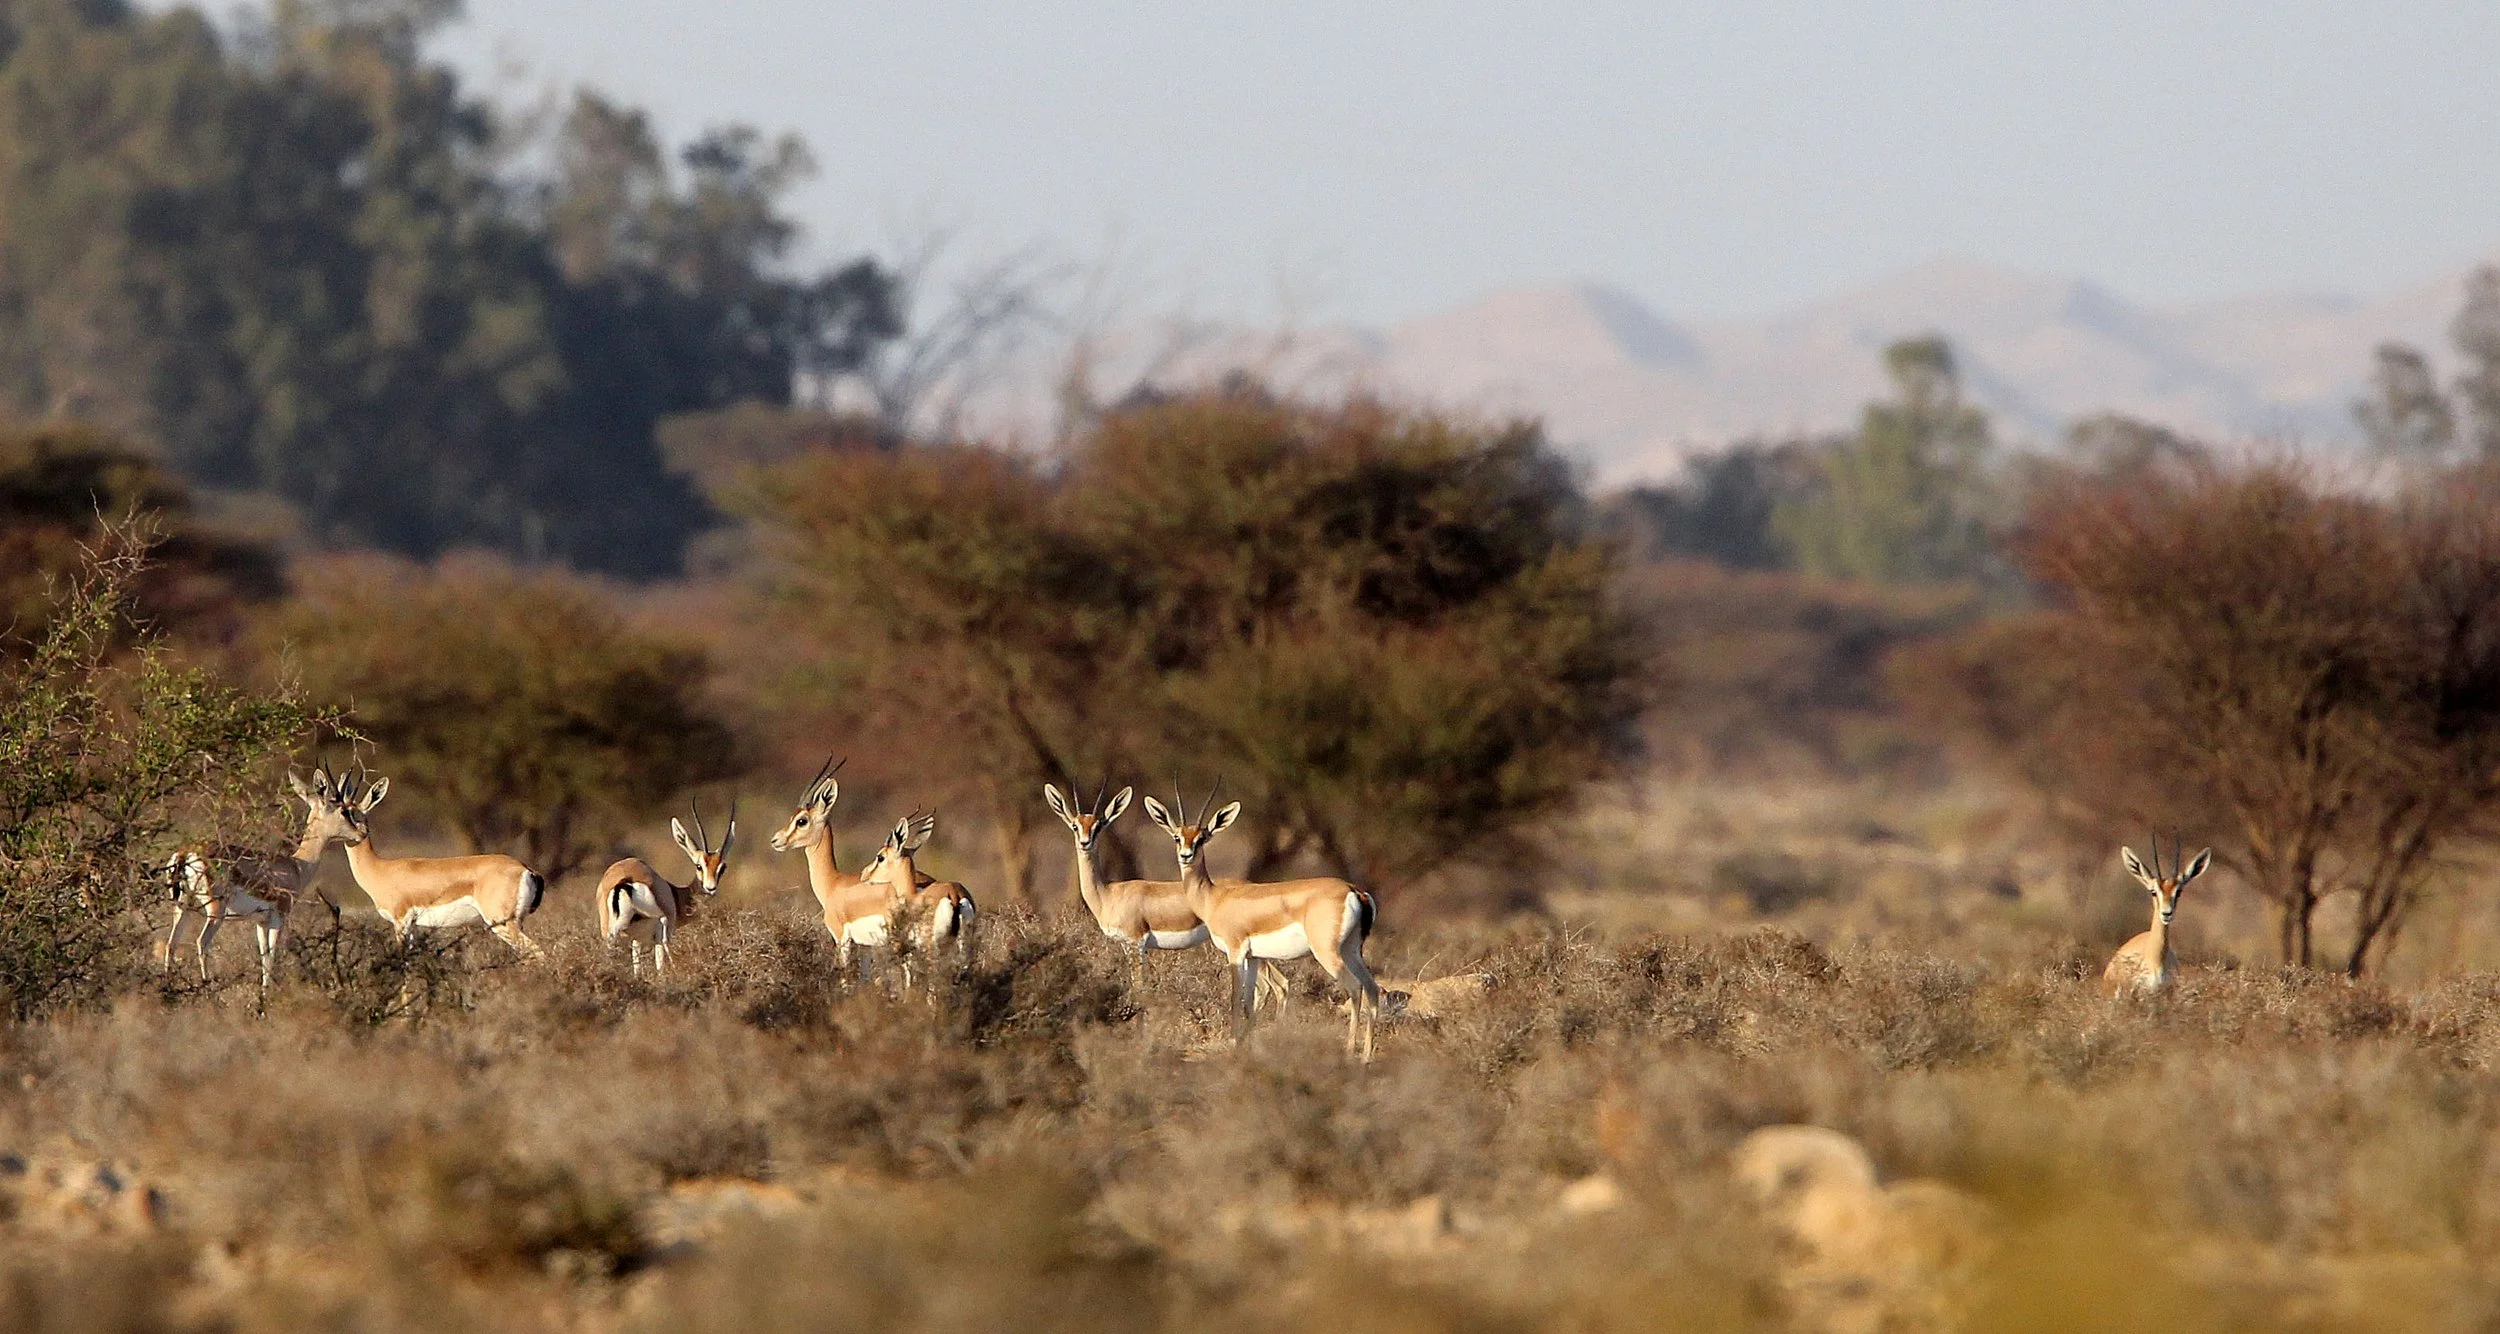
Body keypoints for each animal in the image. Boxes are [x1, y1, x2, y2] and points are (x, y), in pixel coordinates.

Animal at [158, 771, 357, 990]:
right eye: (343, 811)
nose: (361, 833)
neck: (297, 866)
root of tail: (186, 853)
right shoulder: (279, 917)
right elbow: (271, 956)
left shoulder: (260, 922)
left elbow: (264, 956)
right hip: (215, 911)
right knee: (202, 942)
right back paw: (206, 987)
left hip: (183, 905)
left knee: (171, 943)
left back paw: (168, 988)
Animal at [319, 767, 550, 959]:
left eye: (349, 813)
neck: (380, 869)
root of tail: (525, 869)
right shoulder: (412, 927)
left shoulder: (401, 922)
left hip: (502, 923)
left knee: (537, 952)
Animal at [596, 799, 736, 979]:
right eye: (699, 866)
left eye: (722, 868)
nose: (710, 888)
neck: (677, 895)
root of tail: (625, 880)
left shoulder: (636, 940)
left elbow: (636, 966)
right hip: (660, 925)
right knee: (661, 955)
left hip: (609, 933)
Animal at [1044, 781, 1285, 1004]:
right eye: (1075, 825)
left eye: (1098, 826)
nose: (1085, 843)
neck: (1108, 895)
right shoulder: (1126, 945)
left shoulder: (1136, 942)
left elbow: (1140, 988)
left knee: (1276, 984)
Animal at [1142, 784, 1383, 1061]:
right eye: (1177, 837)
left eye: (1201, 838)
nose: (1186, 856)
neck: (1214, 897)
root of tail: (1354, 890)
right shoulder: (1254, 957)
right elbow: (1250, 1000)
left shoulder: (1235, 953)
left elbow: (1235, 997)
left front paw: (1234, 1045)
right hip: (1352, 950)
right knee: (1373, 989)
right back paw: (1366, 1057)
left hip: (1328, 953)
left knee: (1355, 988)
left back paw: (1349, 1052)